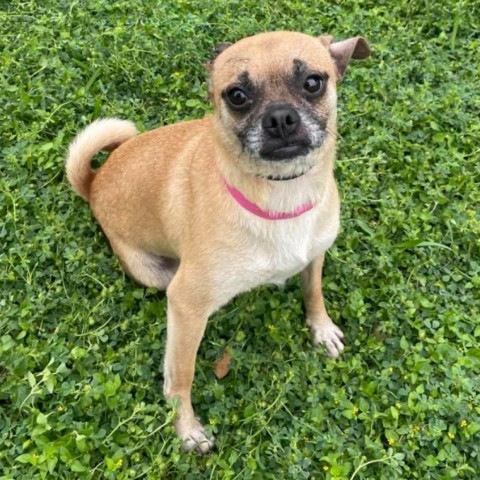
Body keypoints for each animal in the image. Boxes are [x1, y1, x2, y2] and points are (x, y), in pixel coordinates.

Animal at [65, 31, 370, 452]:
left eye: (313, 82)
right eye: (237, 95)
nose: (280, 118)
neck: (281, 195)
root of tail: (93, 184)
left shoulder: (314, 256)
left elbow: (314, 292)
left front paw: (321, 328)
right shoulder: (186, 305)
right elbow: (181, 375)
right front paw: (186, 428)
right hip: (155, 276)